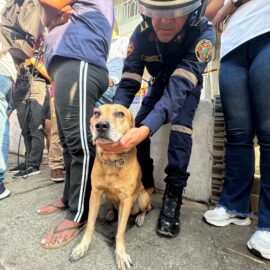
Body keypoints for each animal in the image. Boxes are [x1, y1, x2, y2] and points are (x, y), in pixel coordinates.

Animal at [70, 104, 152, 268]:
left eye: (120, 113)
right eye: (96, 113)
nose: (101, 125)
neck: (111, 161)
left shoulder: (126, 200)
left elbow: (120, 231)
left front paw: (120, 254)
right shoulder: (95, 194)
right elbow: (90, 224)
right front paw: (83, 246)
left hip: (142, 198)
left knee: (147, 209)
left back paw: (140, 217)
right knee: (112, 207)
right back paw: (109, 213)